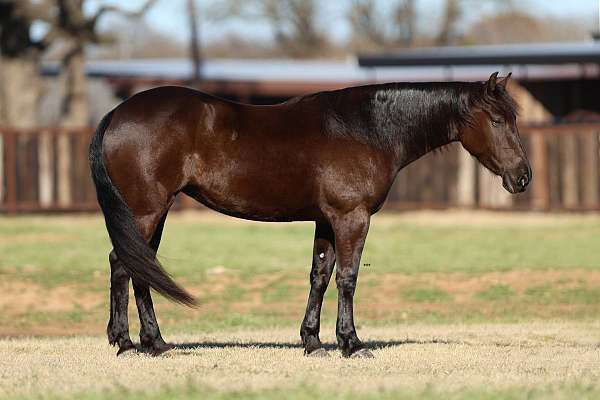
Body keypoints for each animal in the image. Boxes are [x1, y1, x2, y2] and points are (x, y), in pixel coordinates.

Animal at [89, 70, 528, 358]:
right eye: (497, 119)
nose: (523, 177)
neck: (365, 128)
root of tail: (117, 114)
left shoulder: (326, 220)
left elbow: (320, 275)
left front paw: (313, 341)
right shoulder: (352, 217)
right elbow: (348, 278)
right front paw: (352, 344)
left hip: (153, 212)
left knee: (137, 265)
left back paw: (152, 342)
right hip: (146, 211)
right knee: (125, 265)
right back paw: (130, 344)